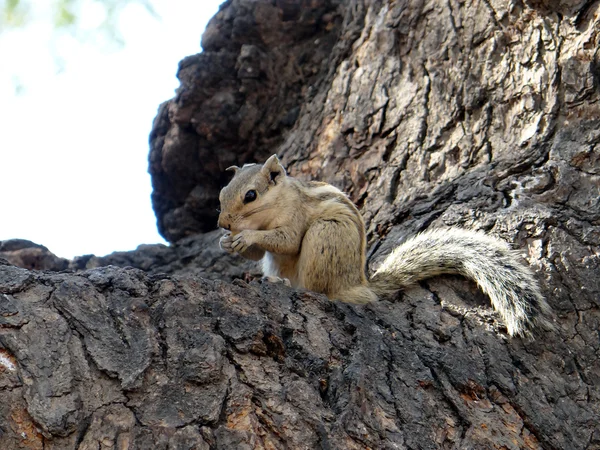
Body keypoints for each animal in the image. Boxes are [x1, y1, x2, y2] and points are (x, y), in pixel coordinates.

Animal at [218, 155, 552, 338]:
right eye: (222, 192)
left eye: (250, 195)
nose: (223, 224)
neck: (274, 206)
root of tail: (357, 284)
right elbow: (260, 251)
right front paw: (228, 242)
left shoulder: (296, 217)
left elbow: (286, 240)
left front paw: (246, 237)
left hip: (325, 236)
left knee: (319, 291)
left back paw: (286, 284)